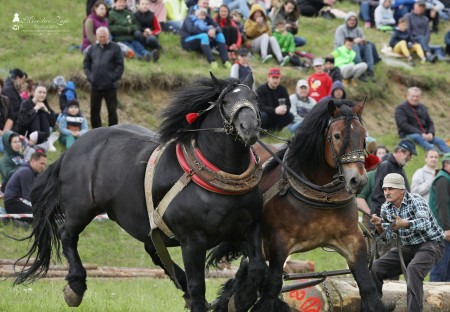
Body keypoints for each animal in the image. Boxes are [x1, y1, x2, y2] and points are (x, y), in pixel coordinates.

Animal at [12, 73, 268, 312]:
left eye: (255, 98)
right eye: (225, 101)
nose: (249, 128)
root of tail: (74, 149)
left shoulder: (249, 228)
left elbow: (257, 267)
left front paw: (242, 297)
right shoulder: (193, 241)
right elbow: (198, 286)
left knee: (153, 250)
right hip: (81, 209)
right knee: (67, 234)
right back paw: (76, 285)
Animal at [209, 100, 388, 312]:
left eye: (363, 137)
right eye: (337, 135)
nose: (358, 180)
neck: (322, 195)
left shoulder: (353, 240)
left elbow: (367, 285)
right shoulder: (280, 242)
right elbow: (272, 288)